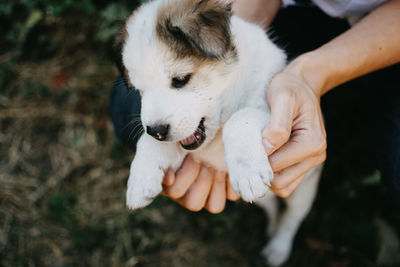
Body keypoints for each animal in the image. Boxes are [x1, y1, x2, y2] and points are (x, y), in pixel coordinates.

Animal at [115, 1, 322, 266]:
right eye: (139, 90)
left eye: (180, 80)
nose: (157, 131)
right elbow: (146, 142)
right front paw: (140, 180)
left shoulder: (274, 111)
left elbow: (241, 118)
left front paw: (247, 170)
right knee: (273, 206)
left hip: (303, 187)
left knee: (291, 218)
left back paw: (278, 248)